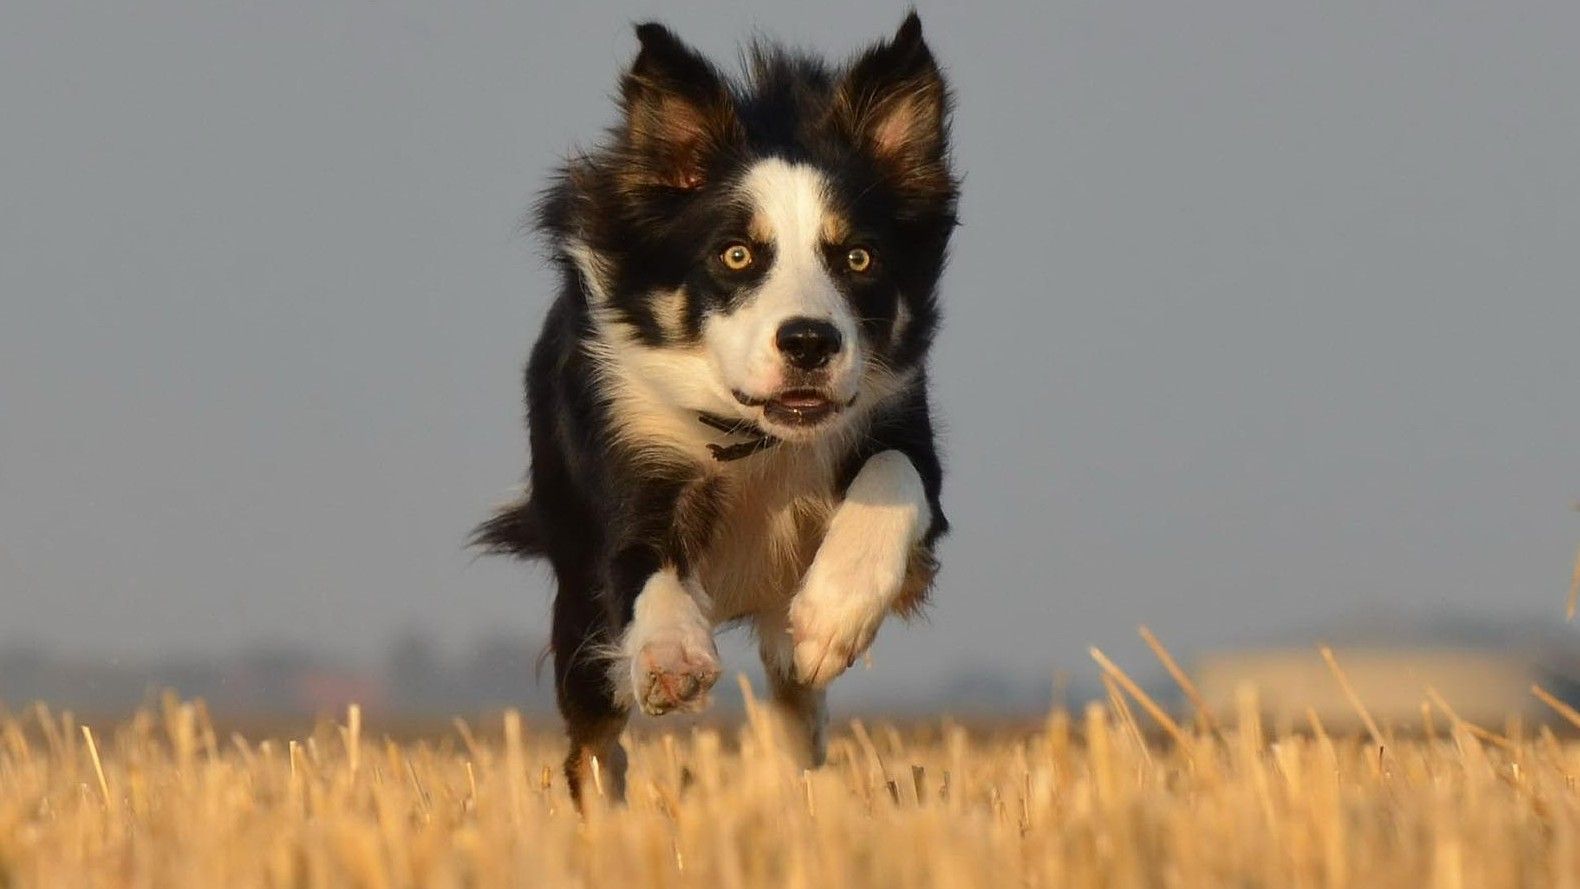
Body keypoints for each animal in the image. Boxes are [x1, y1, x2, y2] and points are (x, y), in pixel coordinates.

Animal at [474, 12, 954, 808]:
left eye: (859, 259)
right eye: (735, 255)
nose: (810, 342)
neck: (756, 436)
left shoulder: (897, 420)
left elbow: (895, 475)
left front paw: (833, 615)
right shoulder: (629, 449)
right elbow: (643, 562)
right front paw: (673, 656)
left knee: (794, 699)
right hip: (576, 609)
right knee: (593, 741)